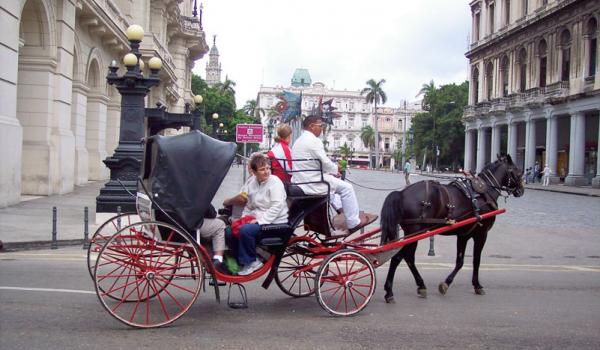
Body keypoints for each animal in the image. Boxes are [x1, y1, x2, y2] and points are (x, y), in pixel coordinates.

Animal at [382, 154, 524, 302]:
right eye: (518, 172)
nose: (521, 190)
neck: (484, 192)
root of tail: (401, 193)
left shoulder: (464, 235)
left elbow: (460, 261)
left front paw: (446, 284)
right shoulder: (481, 234)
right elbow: (476, 260)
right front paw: (477, 285)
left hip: (411, 232)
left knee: (406, 257)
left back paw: (416, 286)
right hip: (414, 232)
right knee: (401, 257)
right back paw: (392, 291)